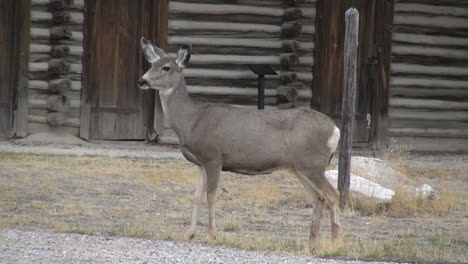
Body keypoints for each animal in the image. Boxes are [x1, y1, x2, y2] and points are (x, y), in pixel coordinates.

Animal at [138, 37, 340, 250]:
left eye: (166, 67)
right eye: (151, 65)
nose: (142, 80)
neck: (191, 120)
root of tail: (335, 129)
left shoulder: (213, 157)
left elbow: (211, 196)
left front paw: (211, 234)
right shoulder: (200, 163)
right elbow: (196, 197)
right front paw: (189, 234)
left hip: (312, 164)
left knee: (333, 195)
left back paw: (335, 243)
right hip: (299, 167)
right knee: (318, 198)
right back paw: (311, 243)